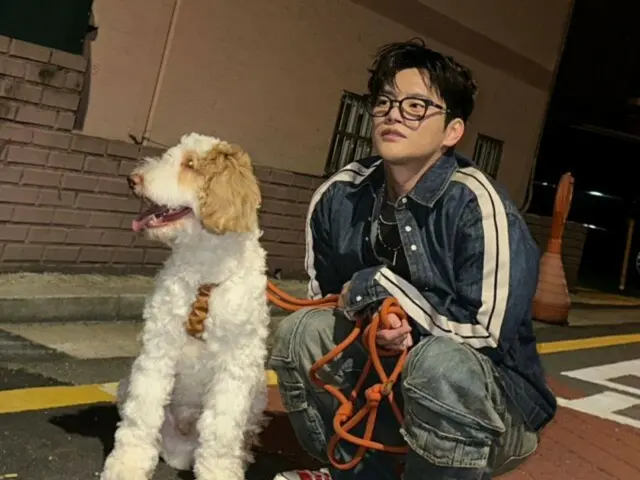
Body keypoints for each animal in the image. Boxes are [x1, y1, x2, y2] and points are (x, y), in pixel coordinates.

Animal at [100, 133, 270, 480]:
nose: (133, 179)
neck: (205, 275)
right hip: (127, 384)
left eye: (190, 164)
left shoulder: (236, 364)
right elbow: (142, 413)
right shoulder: (158, 348)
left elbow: (222, 429)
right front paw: (127, 465)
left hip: (259, 390)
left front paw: (220, 472)